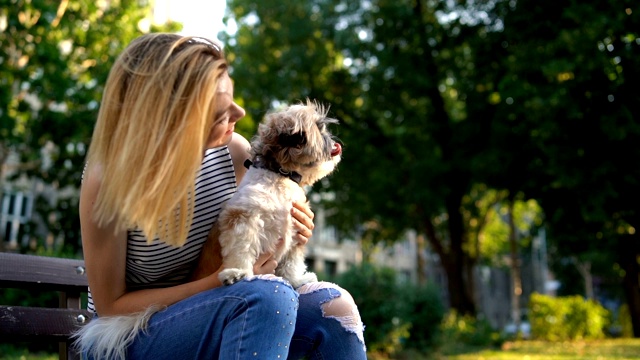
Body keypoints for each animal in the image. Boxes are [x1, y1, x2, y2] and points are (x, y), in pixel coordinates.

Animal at [218, 99, 342, 290]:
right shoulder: (242, 218)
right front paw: (236, 272)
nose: (333, 141)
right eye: (319, 128)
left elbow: (291, 263)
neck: (281, 176)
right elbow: (241, 247)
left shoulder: (296, 234)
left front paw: (295, 280)